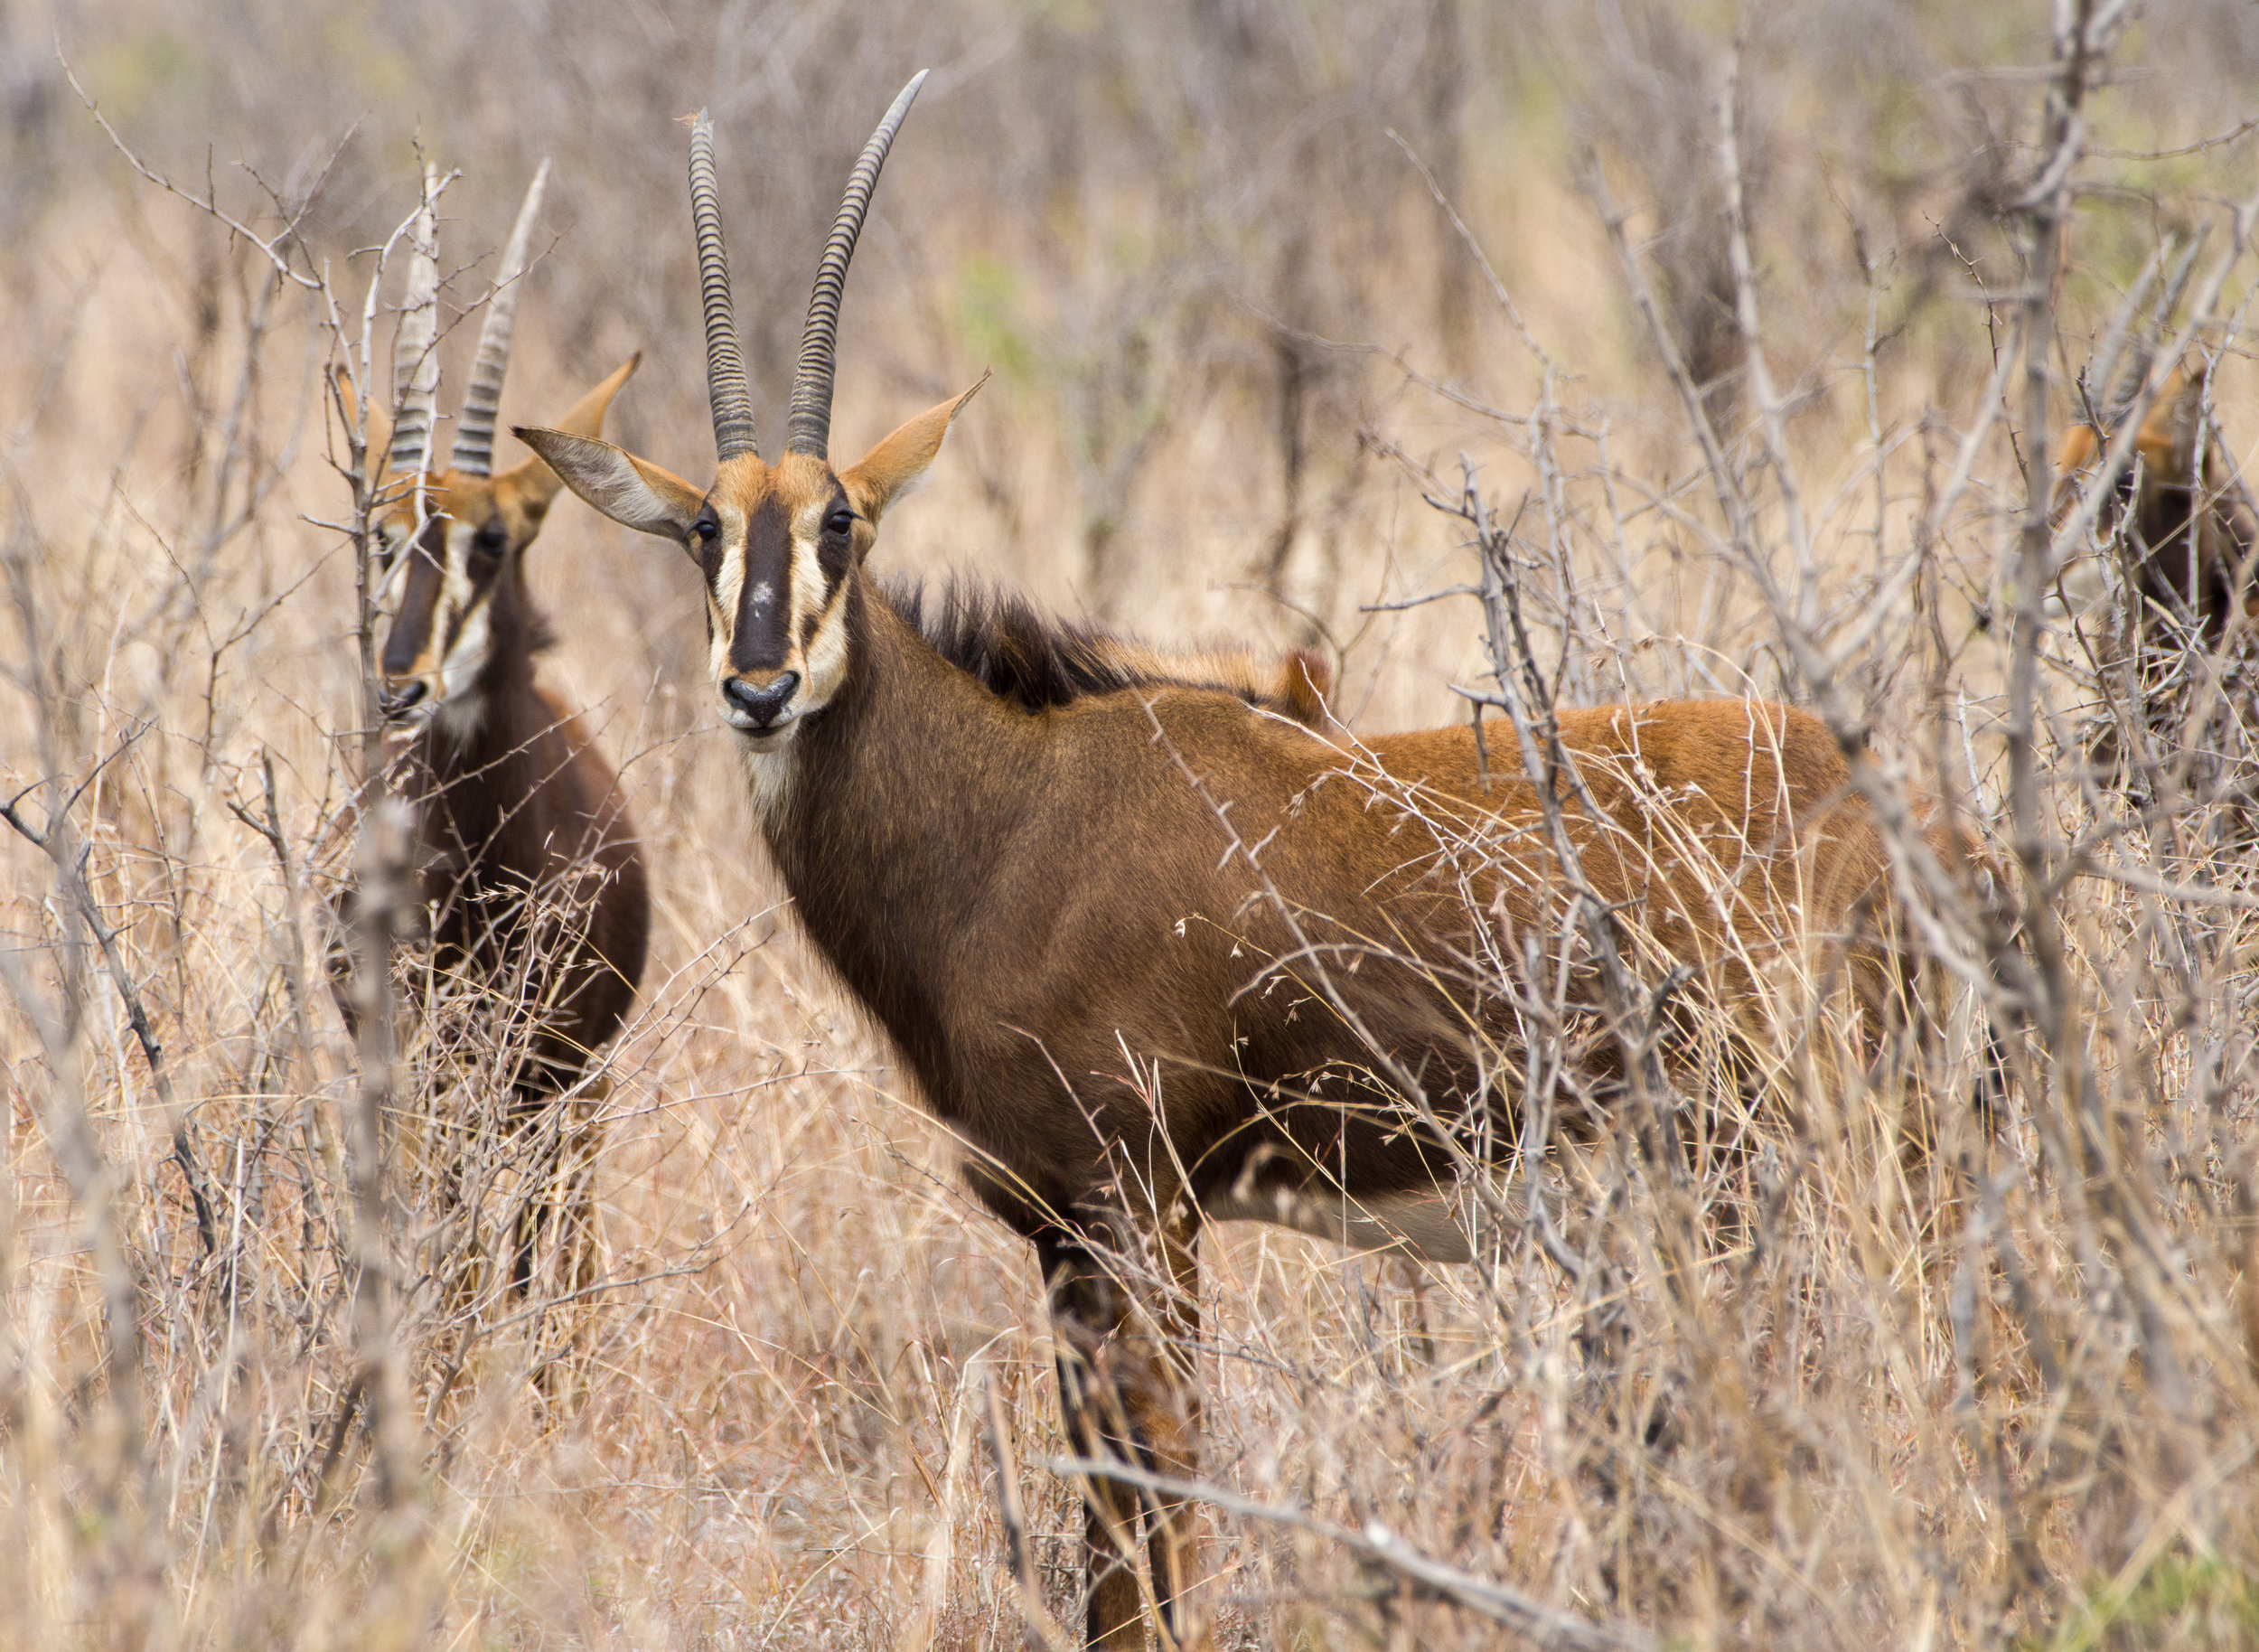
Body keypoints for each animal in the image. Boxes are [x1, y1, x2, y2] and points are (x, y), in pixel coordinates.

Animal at [343, 168, 651, 1301]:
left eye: (493, 538)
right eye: (380, 536)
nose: (400, 684)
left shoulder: (564, 1074)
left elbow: (536, 1261)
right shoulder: (423, 1066)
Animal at [520, 87, 1988, 1652]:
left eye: (842, 522)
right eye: (703, 528)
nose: (759, 687)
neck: (1009, 813)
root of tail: (1910, 816)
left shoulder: (1140, 1206)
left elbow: (1154, 1491)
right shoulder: (1057, 1235)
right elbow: (1107, 1505)